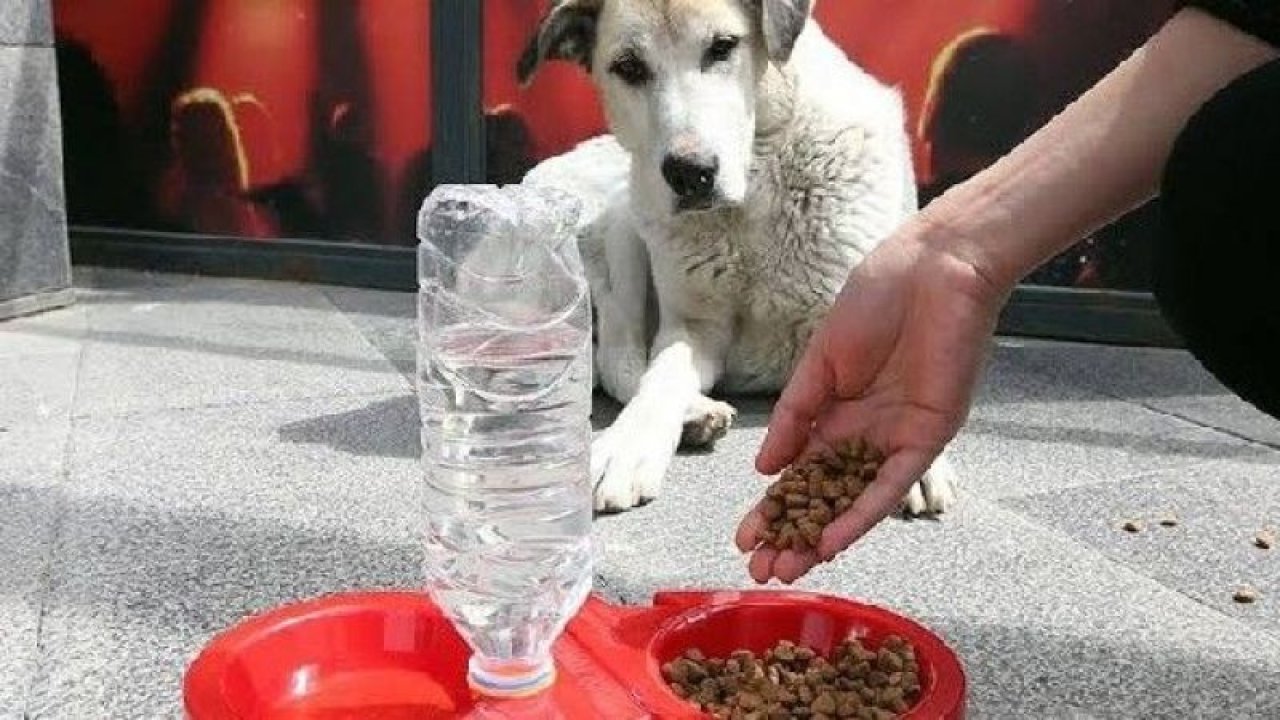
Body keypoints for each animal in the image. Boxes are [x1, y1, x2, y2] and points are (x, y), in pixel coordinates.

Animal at [514, 0, 957, 515]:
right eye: (629, 67)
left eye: (723, 47)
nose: (690, 174)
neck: (753, 200)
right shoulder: (693, 326)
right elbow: (659, 378)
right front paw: (626, 446)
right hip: (624, 218)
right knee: (619, 359)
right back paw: (695, 414)